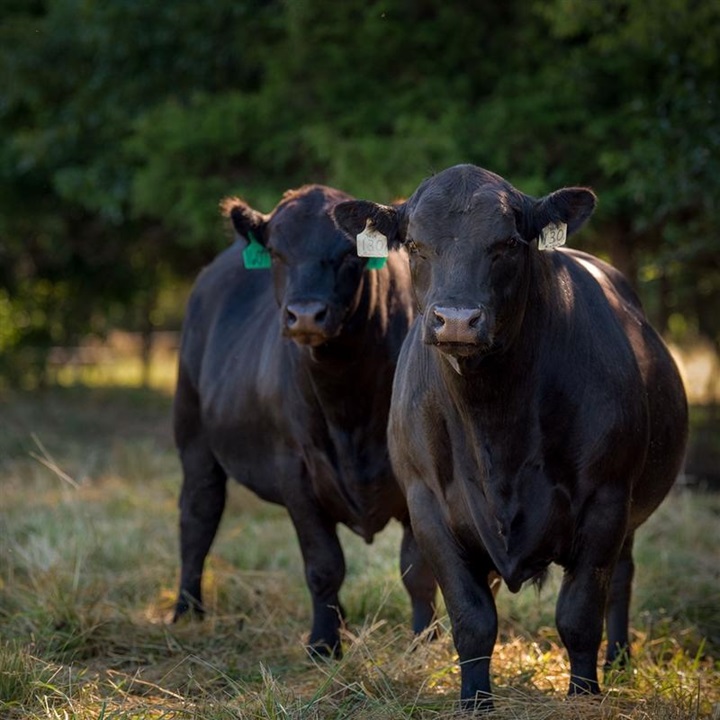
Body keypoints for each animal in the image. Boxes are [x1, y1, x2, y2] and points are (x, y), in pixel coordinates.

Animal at [173, 186, 438, 660]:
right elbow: (323, 564)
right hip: (193, 438)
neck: (348, 402)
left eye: (348, 254)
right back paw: (187, 609)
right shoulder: (295, 472)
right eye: (278, 252)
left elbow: (417, 567)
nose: (306, 314)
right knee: (198, 515)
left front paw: (425, 642)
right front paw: (323, 644)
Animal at [334, 166, 688, 712]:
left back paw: (619, 661)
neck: (495, 420)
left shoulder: (606, 499)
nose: (457, 319)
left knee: (622, 580)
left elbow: (580, 614)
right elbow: (472, 617)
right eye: (414, 244)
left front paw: (583, 694)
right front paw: (474, 701)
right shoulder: (428, 505)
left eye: (506, 244)